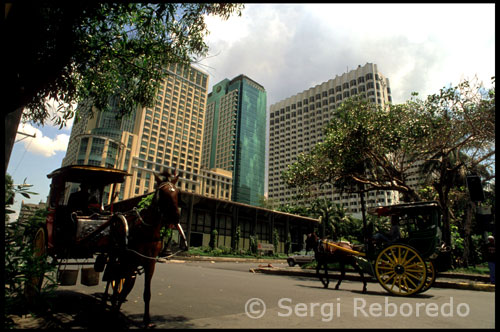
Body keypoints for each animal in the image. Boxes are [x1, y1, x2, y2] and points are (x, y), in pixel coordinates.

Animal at [100, 170, 187, 328]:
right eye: (161, 193)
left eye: (178, 193)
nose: (174, 218)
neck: (148, 230)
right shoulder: (131, 261)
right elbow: (122, 286)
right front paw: (115, 311)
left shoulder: (150, 263)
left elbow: (146, 293)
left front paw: (146, 321)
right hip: (116, 254)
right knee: (111, 276)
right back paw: (106, 301)